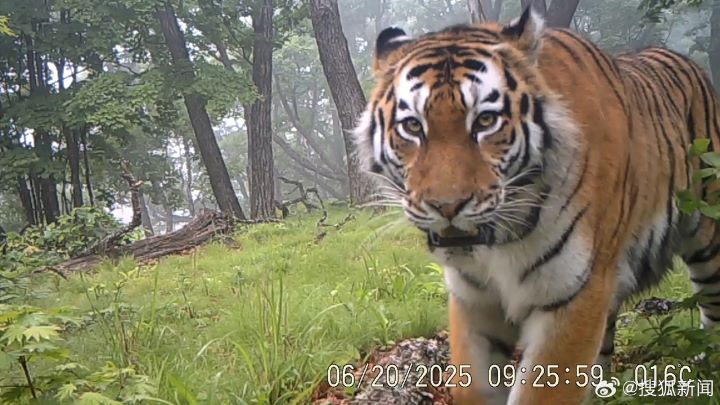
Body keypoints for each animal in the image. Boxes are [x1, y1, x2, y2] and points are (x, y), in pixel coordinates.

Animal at [353, 6, 720, 405]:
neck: (498, 242)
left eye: (485, 121)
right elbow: (475, 385)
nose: (446, 206)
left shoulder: (574, 295)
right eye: (413, 127)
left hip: (709, 245)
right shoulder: (473, 300)